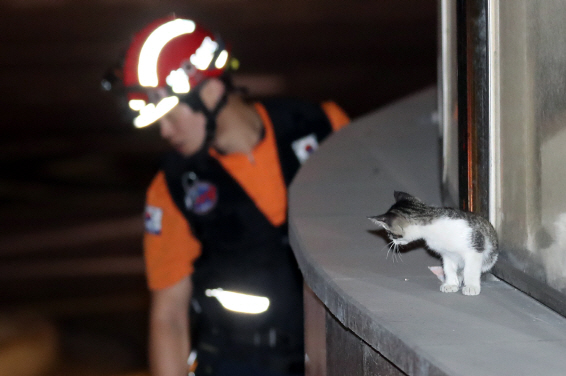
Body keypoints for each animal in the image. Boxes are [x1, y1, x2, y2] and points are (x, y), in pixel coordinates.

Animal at [370, 192, 500, 296]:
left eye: (389, 233)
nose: (391, 241)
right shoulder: (447, 254)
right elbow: (448, 268)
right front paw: (451, 283)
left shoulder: (475, 248)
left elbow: (470, 270)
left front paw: (471, 286)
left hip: (490, 258)